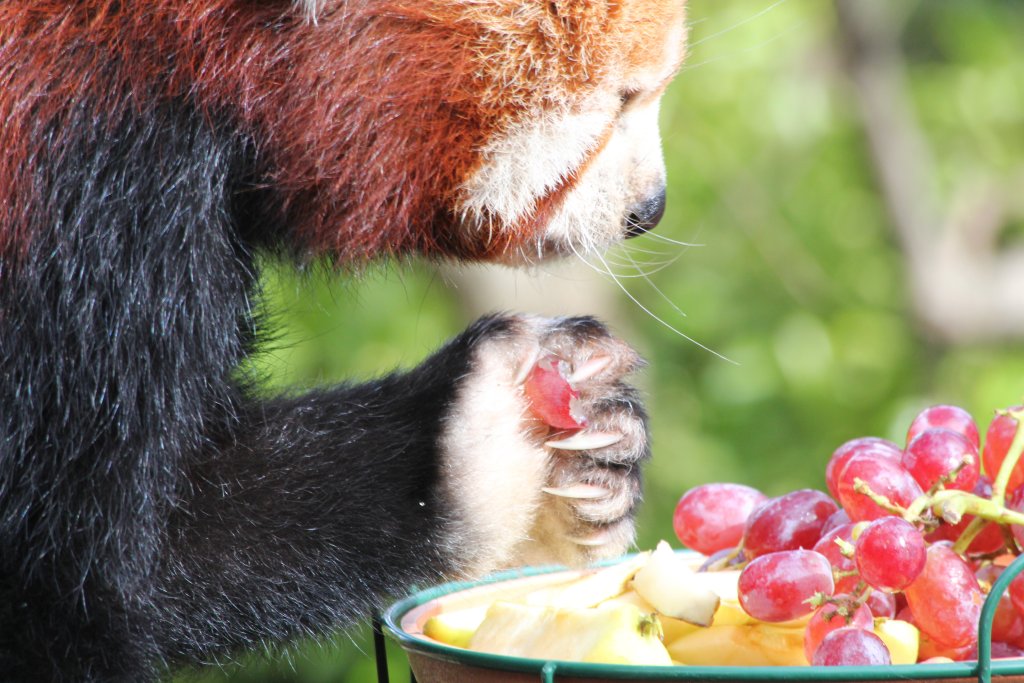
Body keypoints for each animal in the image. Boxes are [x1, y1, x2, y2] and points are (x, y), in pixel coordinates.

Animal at [0, 0, 688, 680]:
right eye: (627, 97)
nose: (651, 210)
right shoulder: (90, 188)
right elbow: (74, 587)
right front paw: (471, 434)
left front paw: (598, 449)